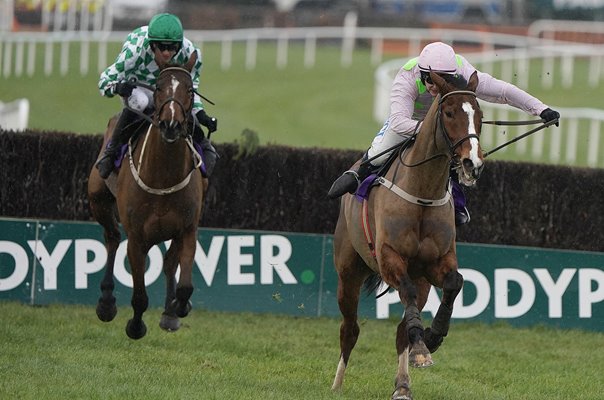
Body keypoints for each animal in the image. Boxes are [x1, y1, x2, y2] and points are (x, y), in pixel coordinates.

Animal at [86, 64, 206, 340]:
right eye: (159, 87)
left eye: (190, 89)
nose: (171, 124)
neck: (163, 176)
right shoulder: (137, 237)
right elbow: (140, 295)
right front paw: (135, 326)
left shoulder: (187, 228)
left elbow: (185, 285)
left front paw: (178, 307)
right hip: (98, 199)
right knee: (112, 239)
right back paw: (106, 302)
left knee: (169, 262)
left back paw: (170, 313)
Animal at [332, 70, 484, 398]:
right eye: (449, 113)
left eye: (479, 114)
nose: (472, 163)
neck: (423, 193)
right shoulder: (390, 257)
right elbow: (406, 291)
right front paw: (424, 343)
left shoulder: (438, 261)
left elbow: (454, 282)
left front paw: (431, 339)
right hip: (348, 271)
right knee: (350, 328)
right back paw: (337, 382)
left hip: (421, 278)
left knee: (402, 330)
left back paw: (404, 381)